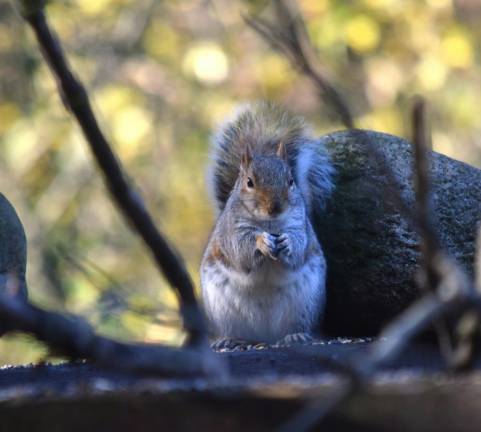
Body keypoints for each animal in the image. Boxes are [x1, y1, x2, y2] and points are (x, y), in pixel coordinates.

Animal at [200, 102, 334, 348]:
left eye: (291, 181)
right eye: (249, 182)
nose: (275, 207)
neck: (269, 224)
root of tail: (265, 336)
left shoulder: (300, 225)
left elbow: (299, 247)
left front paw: (287, 243)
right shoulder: (232, 232)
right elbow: (241, 251)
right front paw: (261, 242)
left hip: (306, 304)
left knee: (297, 326)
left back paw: (295, 335)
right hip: (221, 309)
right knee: (234, 330)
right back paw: (229, 339)